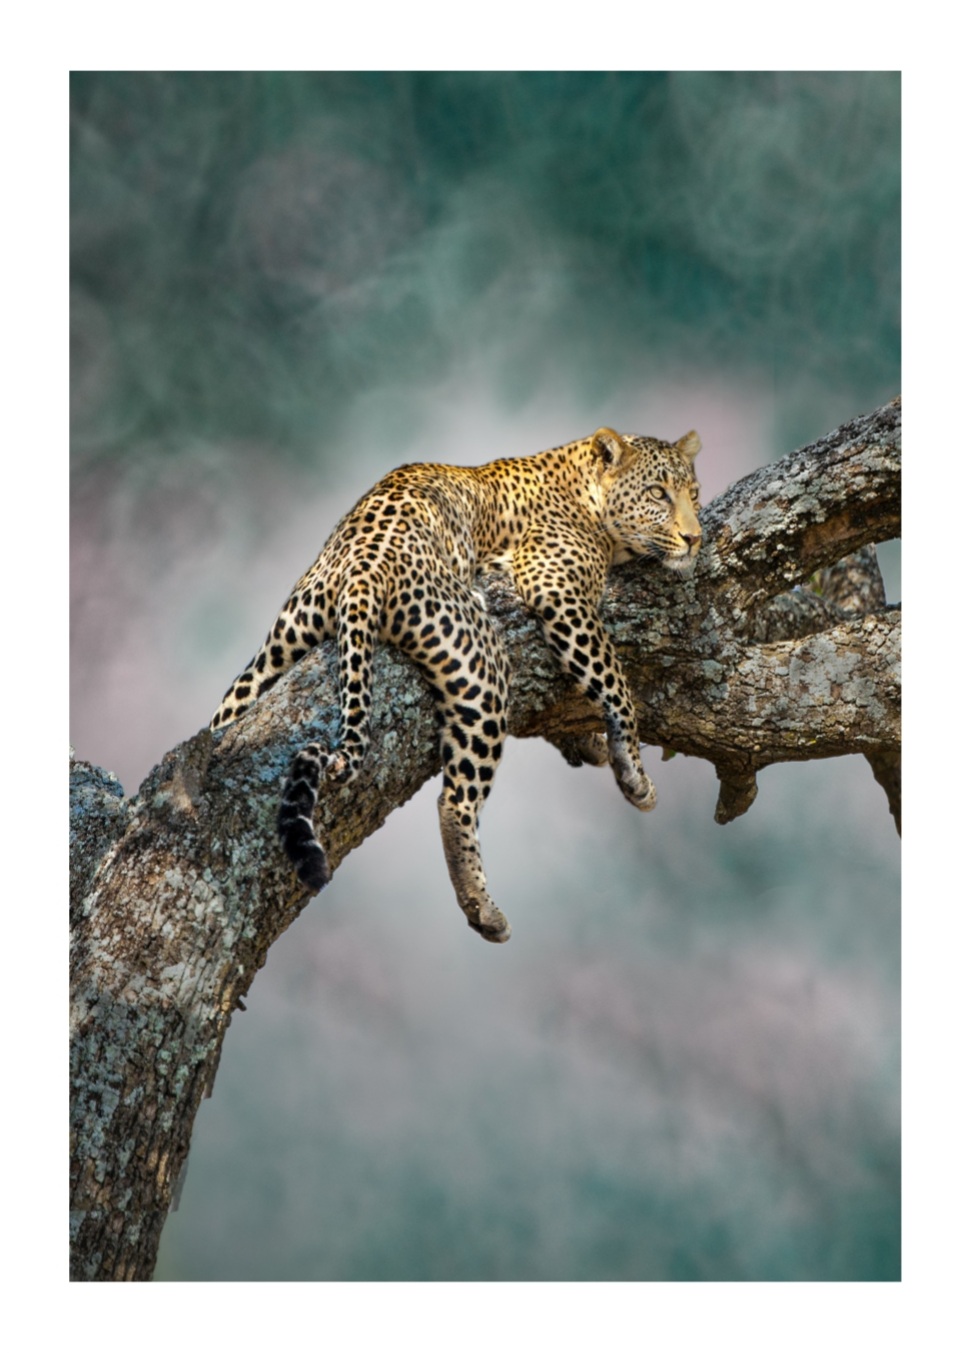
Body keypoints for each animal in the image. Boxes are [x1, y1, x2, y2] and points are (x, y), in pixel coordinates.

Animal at [210, 426, 702, 944]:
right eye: (658, 493)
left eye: (693, 493)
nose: (695, 538)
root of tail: (364, 563)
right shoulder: (558, 589)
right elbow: (614, 680)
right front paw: (632, 772)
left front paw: (588, 741)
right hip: (482, 663)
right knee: (455, 799)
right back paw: (483, 909)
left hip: (275, 652)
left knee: (226, 717)